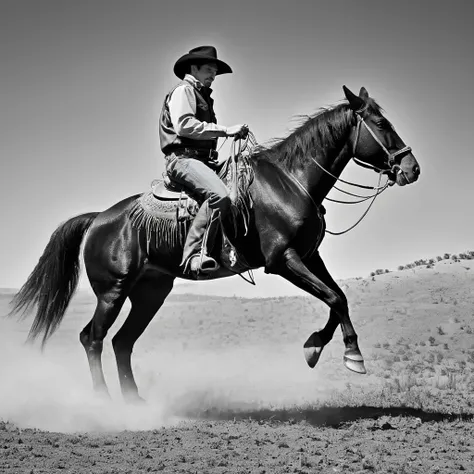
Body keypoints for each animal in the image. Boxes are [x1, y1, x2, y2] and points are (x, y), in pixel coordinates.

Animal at [11, 85, 418, 400]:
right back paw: (104, 401)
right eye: (381, 124)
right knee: (92, 338)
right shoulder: (283, 260)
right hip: (112, 291)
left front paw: (316, 347)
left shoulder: (309, 255)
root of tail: (98, 219)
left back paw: (135, 402)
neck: (289, 181)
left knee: (122, 342)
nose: (411, 168)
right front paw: (350, 356)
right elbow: (334, 297)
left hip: (150, 292)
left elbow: (339, 297)